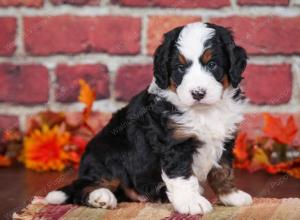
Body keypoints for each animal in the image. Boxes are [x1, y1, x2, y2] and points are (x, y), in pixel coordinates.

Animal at [46, 21, 253, 214]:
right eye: (180, 68)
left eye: (212, 64)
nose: (198, 93)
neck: (203, 111)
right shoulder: (175, 143)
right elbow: (182, 176)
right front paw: (192, 203)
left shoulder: (225, 139)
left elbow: (223, 170)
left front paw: (231, 196)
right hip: (110, 154)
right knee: (85, 187)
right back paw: (101, 197)